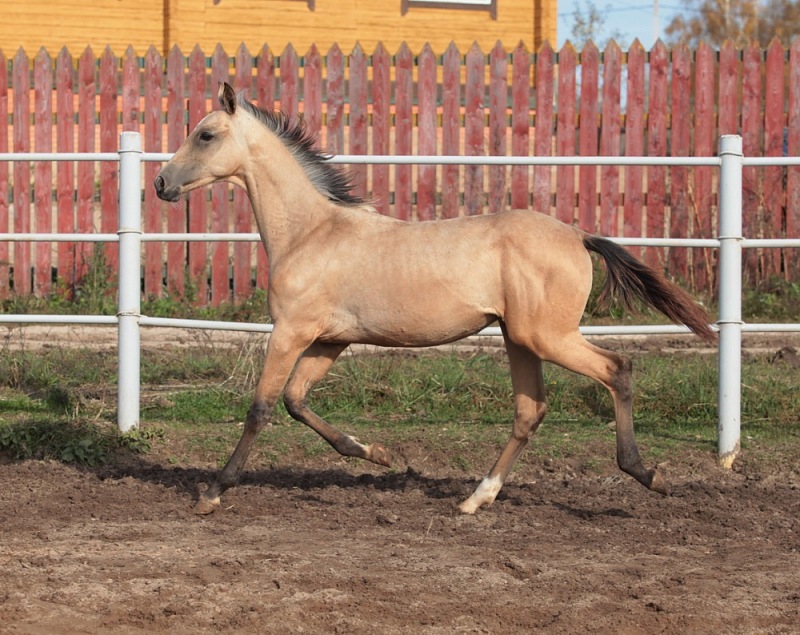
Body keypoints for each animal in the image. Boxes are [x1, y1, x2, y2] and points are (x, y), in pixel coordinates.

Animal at [155, 82, 716, 515]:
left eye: (205, 134)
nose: (161, 183)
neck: (310, 232)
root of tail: (579, 235)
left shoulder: (291, 332)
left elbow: (261, 408)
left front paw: (212, 492)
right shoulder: (329, 341)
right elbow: (296, 402)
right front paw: (377, 454)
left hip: (547, 336)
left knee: (617, 369)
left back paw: (646, 473)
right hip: (519, 338)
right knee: (530, 410)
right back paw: (475, 499)